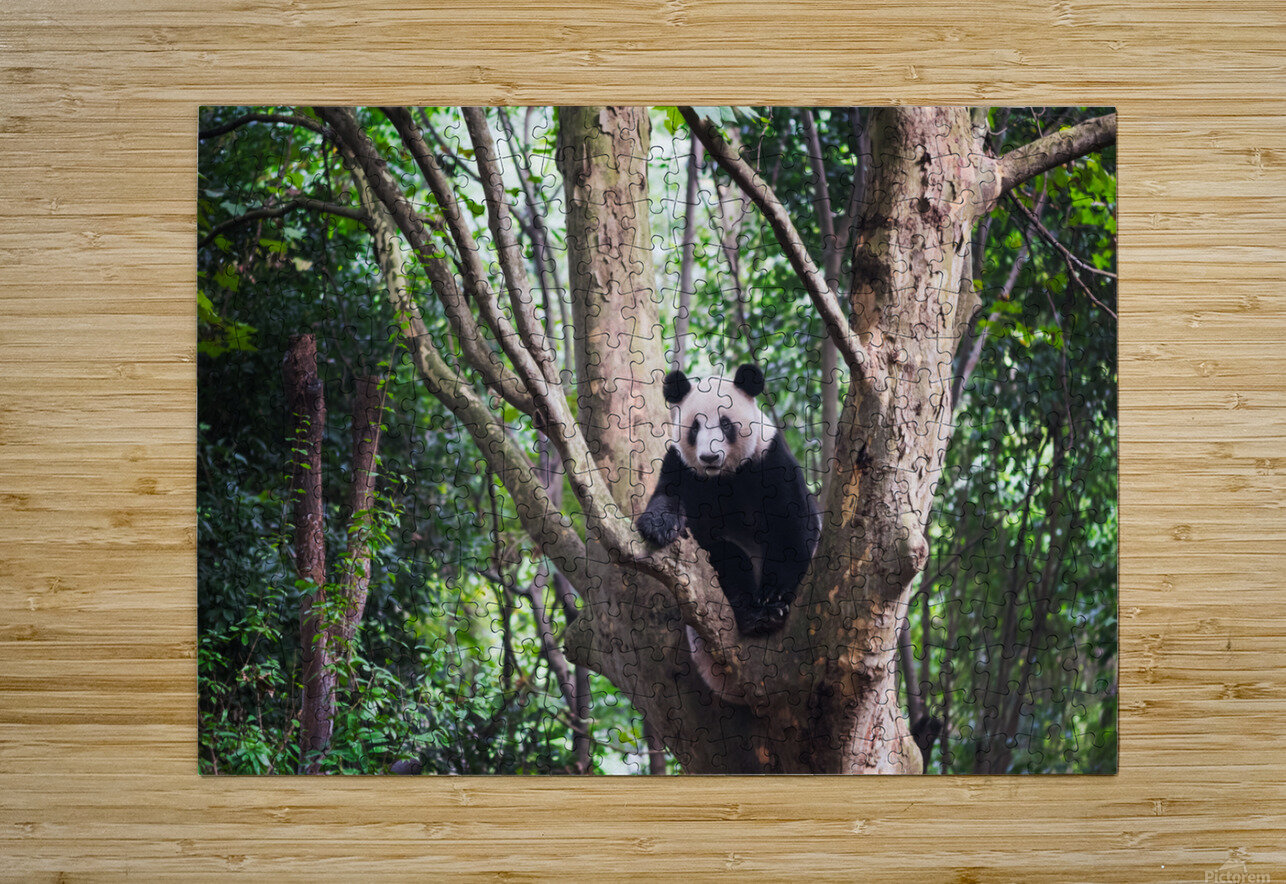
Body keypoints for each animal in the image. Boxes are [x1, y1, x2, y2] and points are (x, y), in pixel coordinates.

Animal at [636, 364, 821, 636]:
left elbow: (792, 526)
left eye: (725, 424)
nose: (709, 457)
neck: (723, 477)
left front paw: (775, 595)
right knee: (728, 560)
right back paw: (753, 615)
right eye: (695, 427)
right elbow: (667, 497)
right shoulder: (682, 466)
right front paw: (658, 527)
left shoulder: (770, 459)